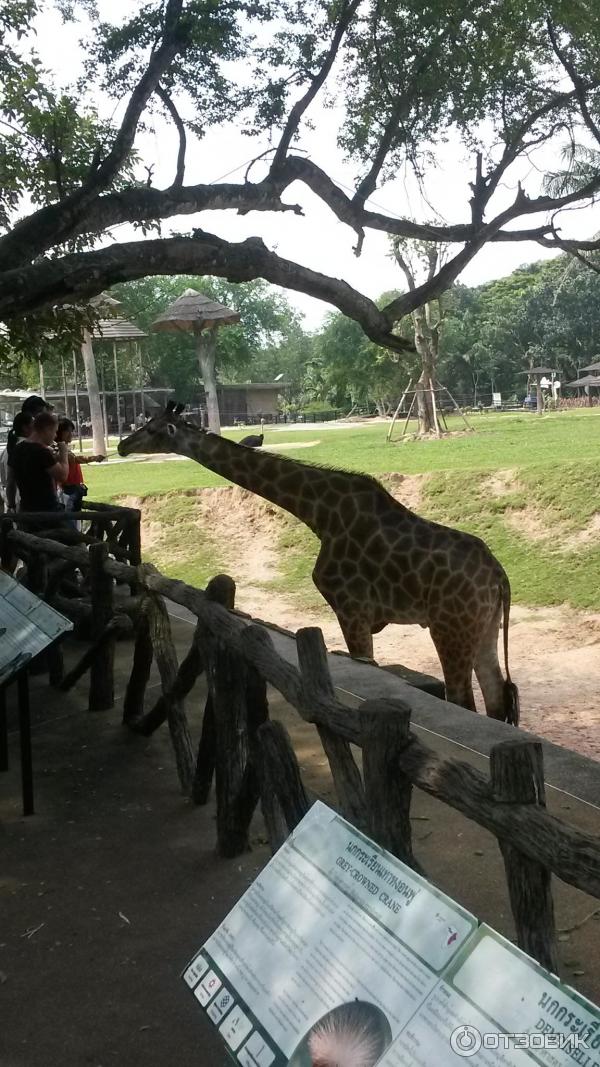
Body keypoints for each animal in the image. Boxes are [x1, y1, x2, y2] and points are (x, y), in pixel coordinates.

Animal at [117, 401, 518, 725]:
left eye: (151, 429)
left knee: (464, 700)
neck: (320, 515)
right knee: (497, 699)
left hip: (450, 628)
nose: (122, 446)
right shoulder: (357, 615)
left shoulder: (352, 609)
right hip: (484, 627)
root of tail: (500, 577)